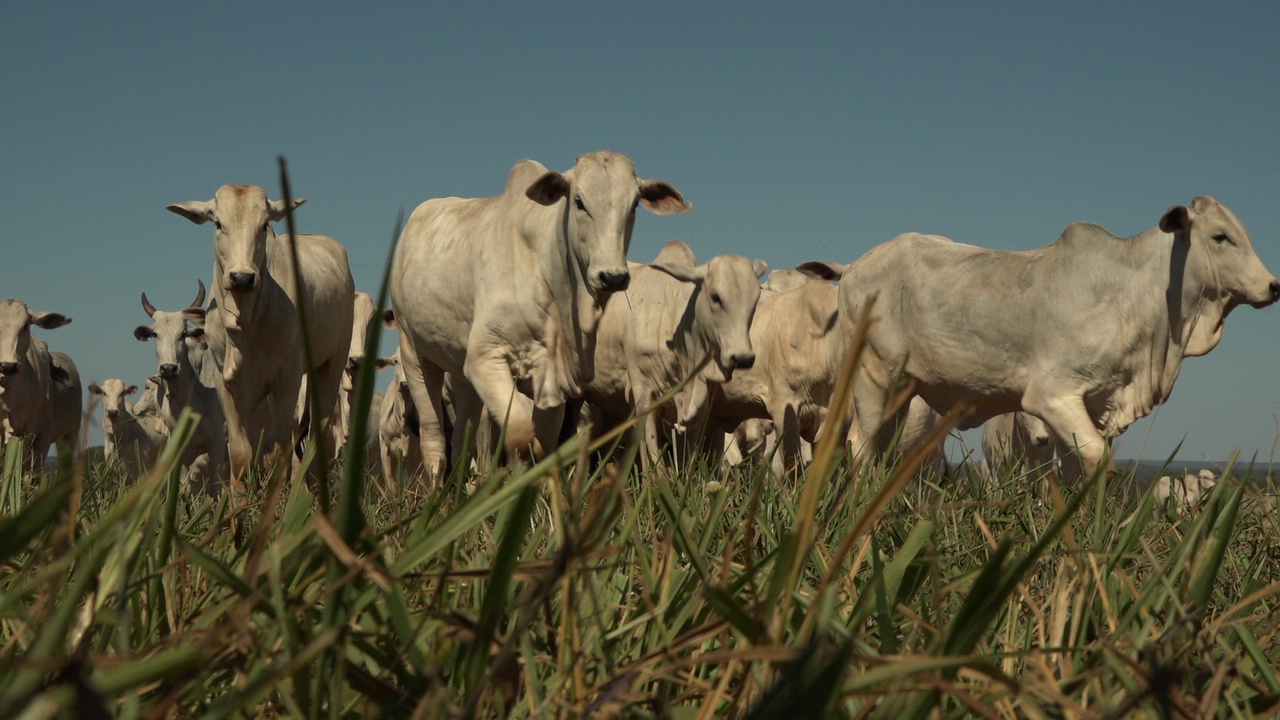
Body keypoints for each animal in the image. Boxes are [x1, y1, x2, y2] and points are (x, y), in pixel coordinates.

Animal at [167, 184, 355, 486]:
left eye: (264, 225)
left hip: (331, 364)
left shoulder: (287, 379)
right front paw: (237, 499)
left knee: (318, 439)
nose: (242, 278)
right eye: (218, 223)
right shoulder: (226, 384)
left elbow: (277, 452)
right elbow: (241, 452)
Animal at [389, 151, 691, 479]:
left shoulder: (556, 378)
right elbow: (523, 438)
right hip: (414, 353)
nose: (612, 276)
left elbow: (542, 447)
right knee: (433, 439)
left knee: (460, 441)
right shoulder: (484, 359)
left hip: (460, 371)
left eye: (634, 203)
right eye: (579, 201)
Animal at [803, 196, 1274, 476]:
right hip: (874, 378)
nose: (1274, 286)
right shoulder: (1052, 396)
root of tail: (855, 265)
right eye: (1220, 237)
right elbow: (1095, 459)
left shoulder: (1094, 404)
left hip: (903, 389)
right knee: (860, 444)